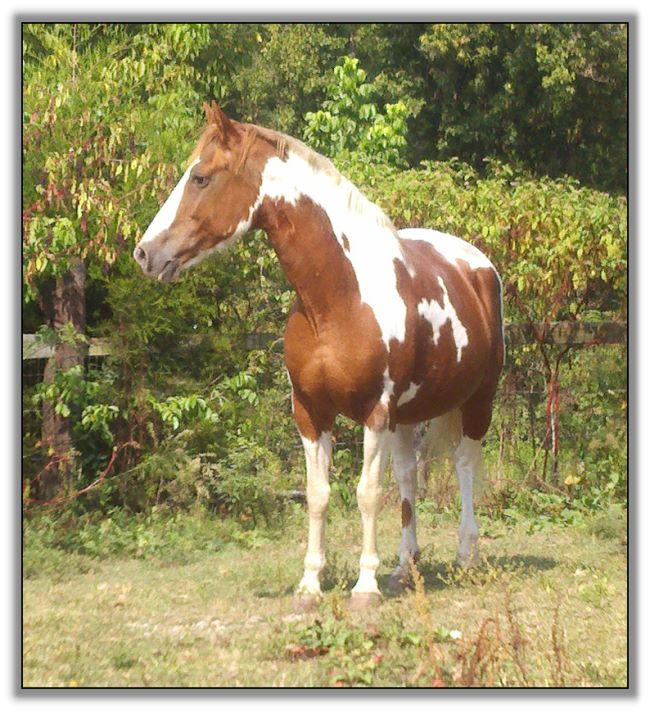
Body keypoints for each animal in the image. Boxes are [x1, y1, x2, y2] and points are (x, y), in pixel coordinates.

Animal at [134, 102, 504, 608]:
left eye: (202, 178)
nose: (144, 253)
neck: (338, 298)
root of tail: (477, 265)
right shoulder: (310, 411)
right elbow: (318, 493)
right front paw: (310, 583)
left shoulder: (374, 412)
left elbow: (367, 492)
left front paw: (364, 587)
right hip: (407, 417)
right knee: (408, 478)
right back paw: (404, 568)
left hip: (476, 401)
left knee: (465, 467)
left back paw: (465, 557)